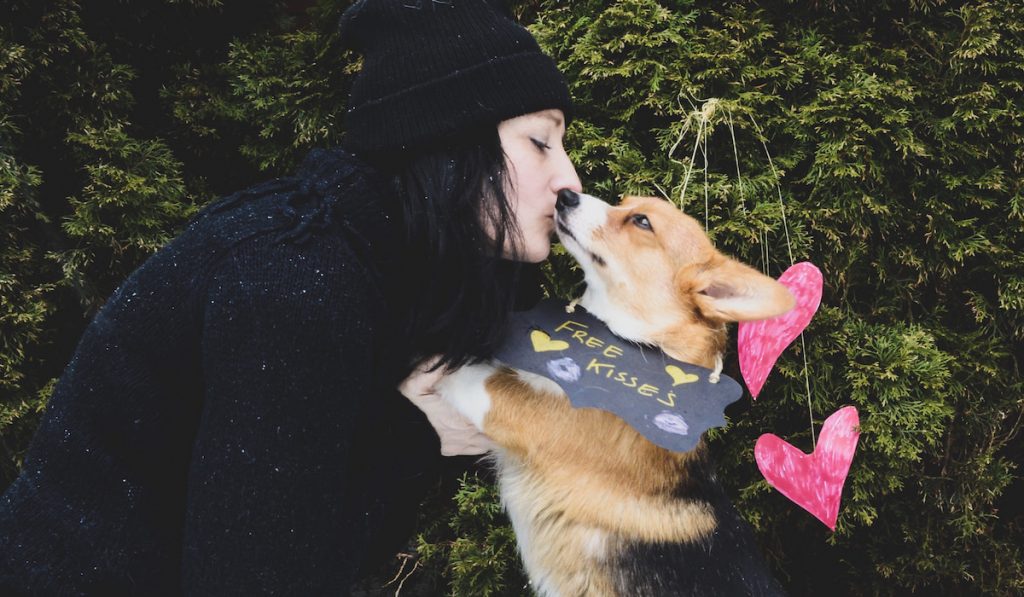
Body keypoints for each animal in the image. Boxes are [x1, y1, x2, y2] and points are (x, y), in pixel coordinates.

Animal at [436, 191, 794, 597]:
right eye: (623, 201)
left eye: (642, 221)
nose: (565, 195)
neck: (631, 343)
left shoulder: (521, 410)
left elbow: (479, 378)